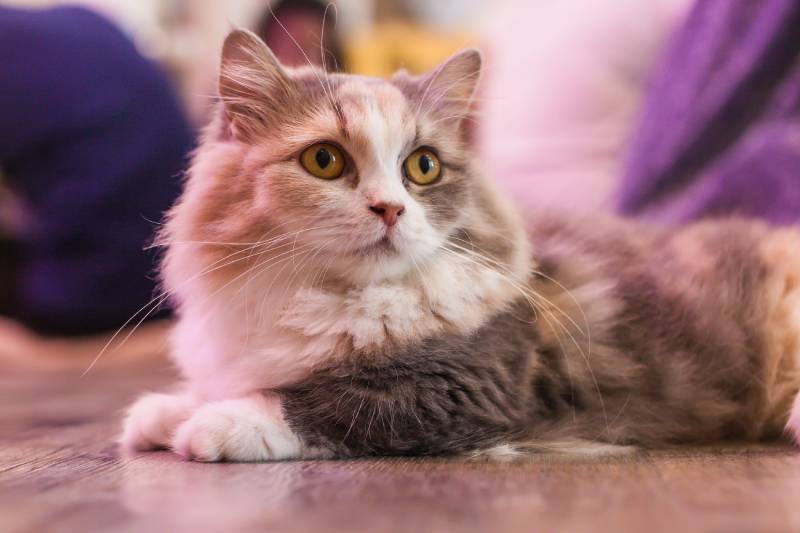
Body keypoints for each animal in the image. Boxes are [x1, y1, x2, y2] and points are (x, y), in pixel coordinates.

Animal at [119, 30, 800, 462]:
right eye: (324, 160)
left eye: (422, 167)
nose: (389, 209)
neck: (326, 297)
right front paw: (166, 412)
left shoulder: (465, 385)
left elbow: (321, 401)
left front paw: (219, 423)